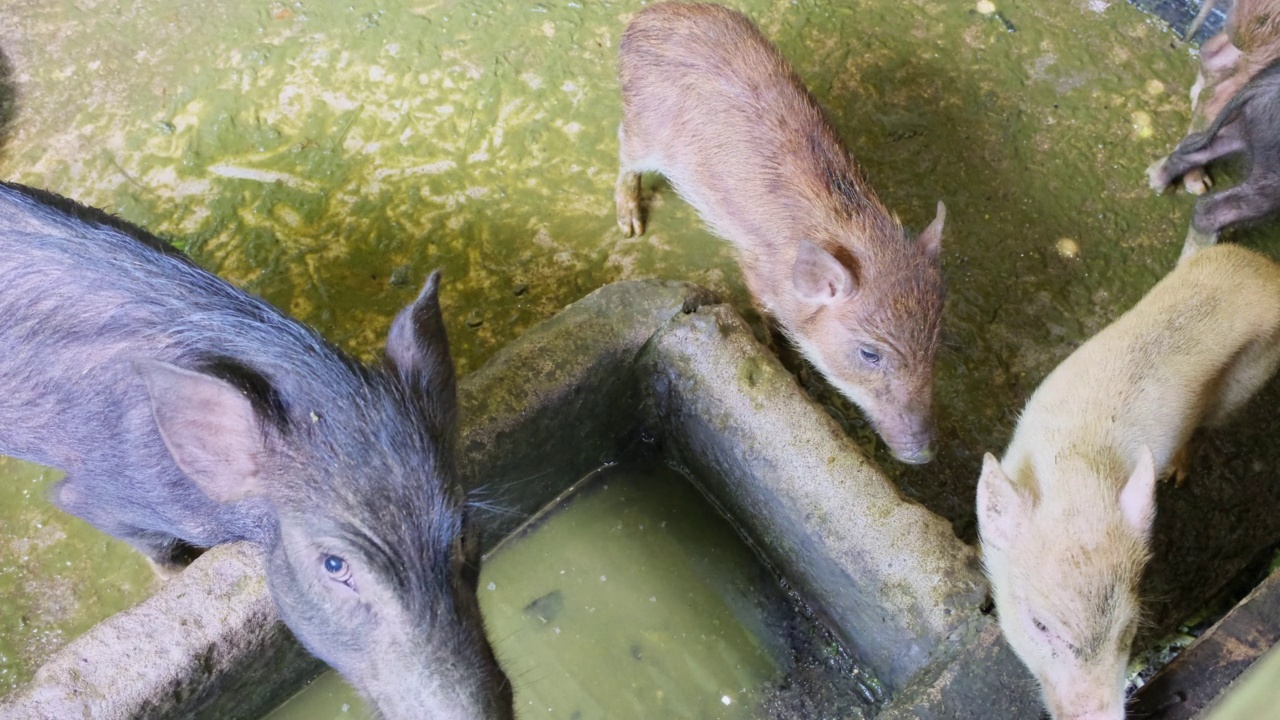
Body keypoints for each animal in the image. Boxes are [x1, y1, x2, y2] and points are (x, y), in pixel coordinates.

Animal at [614, 2, 947, 461]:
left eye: (937, 343)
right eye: (869, 354)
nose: (923, 454)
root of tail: (644, 16)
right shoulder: (757, 273)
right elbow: (771, 321)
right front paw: (795, 374)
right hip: (643, 127)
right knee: (623, 150)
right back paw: (630, 228)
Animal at [972, 242, 1280, 717]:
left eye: (1129, 628)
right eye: (1040, 625)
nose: (1102, 713)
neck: (1079, 471)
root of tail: (1266, 267)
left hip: (1248, 380)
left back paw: (1176, 475)